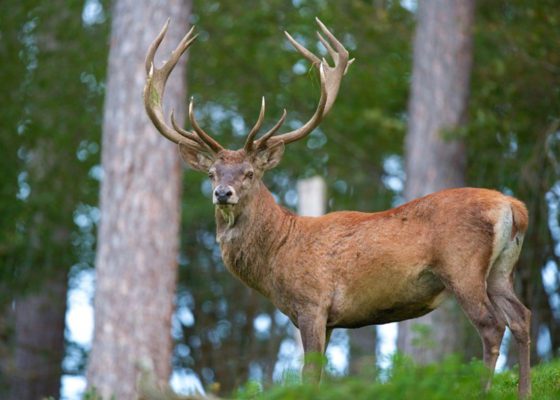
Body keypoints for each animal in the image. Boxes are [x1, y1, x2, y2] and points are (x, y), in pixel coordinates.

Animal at [142, 18, 532, 396]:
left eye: (249, 173)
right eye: (211, 173)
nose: (223, 193)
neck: (279, 253)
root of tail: (514, 207)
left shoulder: (312, 303)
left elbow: (309, 375)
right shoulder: (327, 319)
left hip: (462, 266)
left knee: (491, 325)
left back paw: (484, 390)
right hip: (501, 270)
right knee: (522, 317)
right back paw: (524, 391)